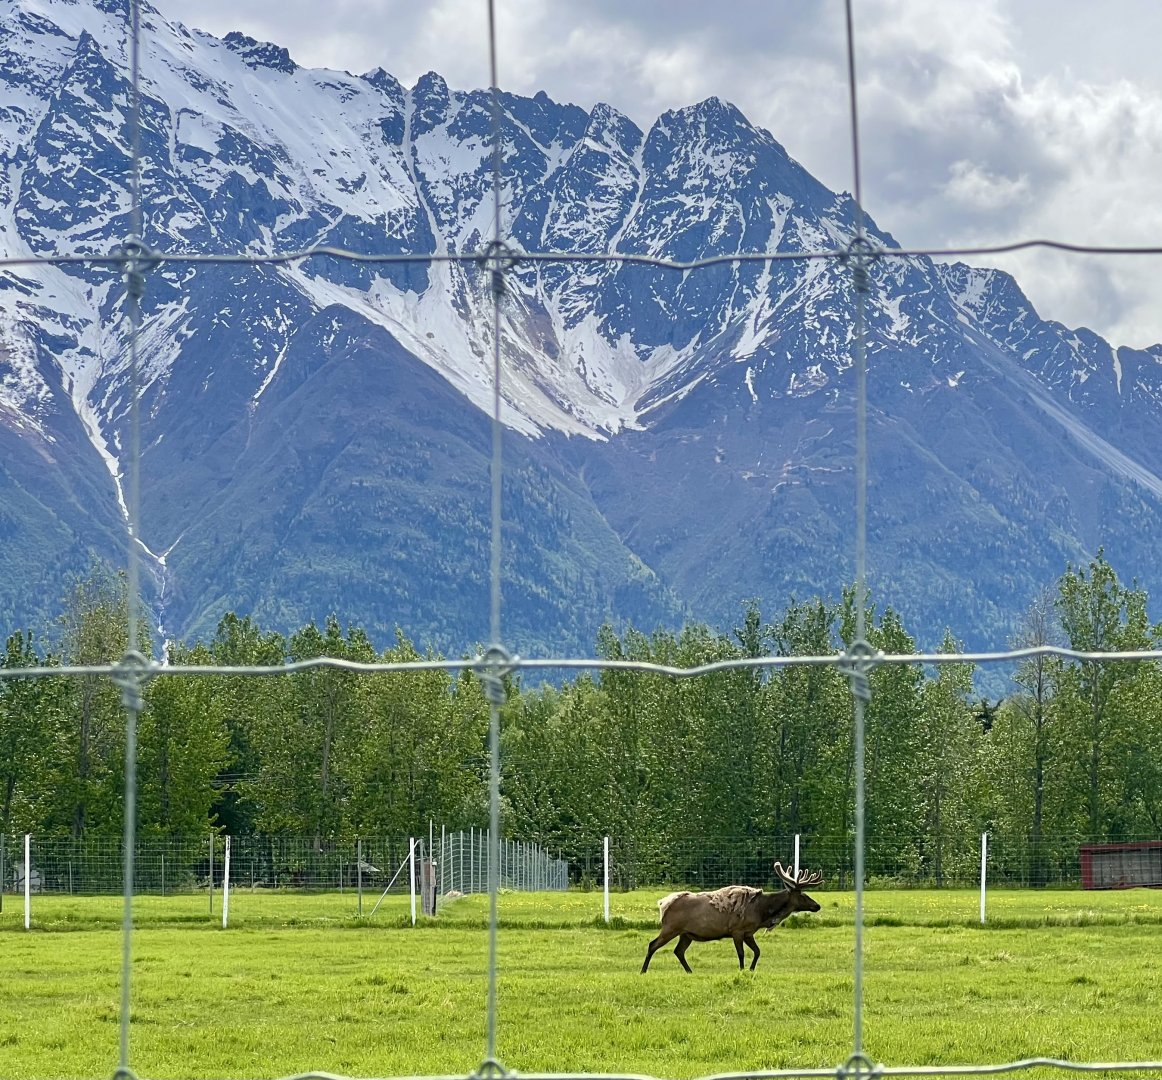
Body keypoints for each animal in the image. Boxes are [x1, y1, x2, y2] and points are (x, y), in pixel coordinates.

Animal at [641, 861, 823, 973]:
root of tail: (663, 904)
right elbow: (741, 953)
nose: (817, 906)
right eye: (803, 895)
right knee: (652, 945)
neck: (762, 912)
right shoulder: (737, 930)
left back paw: (689, 971)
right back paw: (643, 970)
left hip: (686, 934)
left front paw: (751, 969)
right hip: (671, 927)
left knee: (678, 951)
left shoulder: (749, 932)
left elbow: (757, 951)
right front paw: (742, 970)